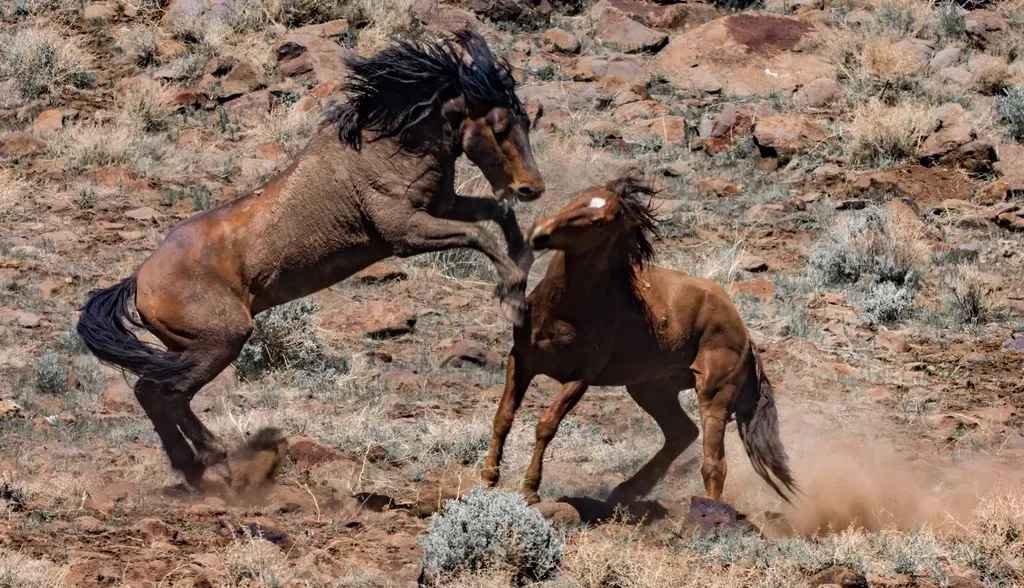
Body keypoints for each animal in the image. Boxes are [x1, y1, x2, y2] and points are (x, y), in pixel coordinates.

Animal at [75, 29, 545, 495]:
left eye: (527, 123)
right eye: (500, 128)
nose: (533, 188)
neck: (389, 145)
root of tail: (139, 280)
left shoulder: (442, 205)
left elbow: (497, 213)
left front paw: (523, 264)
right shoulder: (405, 232)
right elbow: (480, 234)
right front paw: (512, 295)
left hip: (184, 347)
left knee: (151, 391)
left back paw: (195, 469)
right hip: (220, 341)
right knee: (163, 393)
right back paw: (214, 461)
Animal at [480, 176, 798, 508]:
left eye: (600, 222)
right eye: (580, 197)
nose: (539, 233)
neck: (561, 311)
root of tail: (746, 335)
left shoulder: (580, 379)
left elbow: (546, 424)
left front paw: (530, 490)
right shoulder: (522, 359)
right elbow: (503, 415)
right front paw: (488, 478)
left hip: (713, 393)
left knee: (714, 463)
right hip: (650, 389)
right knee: (682, 432)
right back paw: (625, 491)